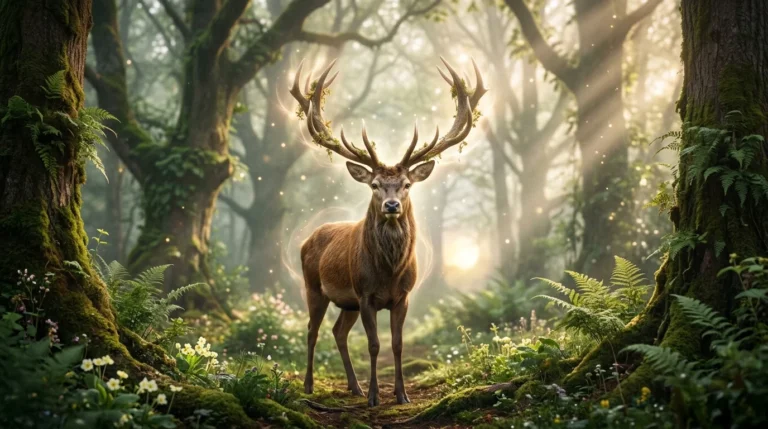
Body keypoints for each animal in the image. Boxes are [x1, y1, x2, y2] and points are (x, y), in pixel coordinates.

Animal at [290, 57, 487, 407]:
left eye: (407, 184)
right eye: (375, 185)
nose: (392, 205)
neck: (389, 271)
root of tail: (309, 238)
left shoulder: (402, 296)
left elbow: (397, 344)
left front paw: (401, 394)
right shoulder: (365, 293)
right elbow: (374, 345)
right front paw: (373, 397)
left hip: (347, 302)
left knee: (338, 332)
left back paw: (352, 386)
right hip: (314, 286)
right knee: (312, 330)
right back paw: (310, 385)